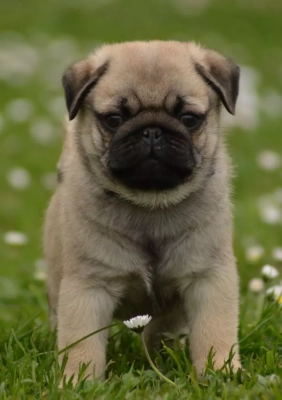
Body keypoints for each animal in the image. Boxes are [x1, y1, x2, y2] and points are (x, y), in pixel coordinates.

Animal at [43, 39, 240, 382]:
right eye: (113, 119)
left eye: (189, 119)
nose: (151, 131)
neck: (151, 204)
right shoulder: (88, 287)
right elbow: (81, 343)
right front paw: (77, 381)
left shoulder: (208, 278)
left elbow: (215, 332)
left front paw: (220, 373)